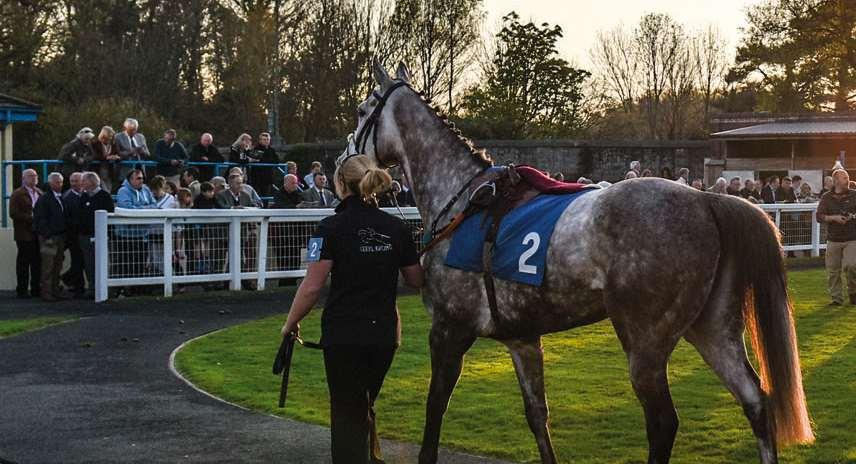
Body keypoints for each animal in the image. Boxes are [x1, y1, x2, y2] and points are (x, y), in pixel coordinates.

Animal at [346, 61, 814, 464]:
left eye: (362, 110)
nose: (342, 159)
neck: (465, 200)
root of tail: (706, 199)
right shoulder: (522, 338)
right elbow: (538, 415)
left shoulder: (449, 329)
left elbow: (435, 406)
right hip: (712, 326)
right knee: (755, 400)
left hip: (645, 341)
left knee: (663, 423)